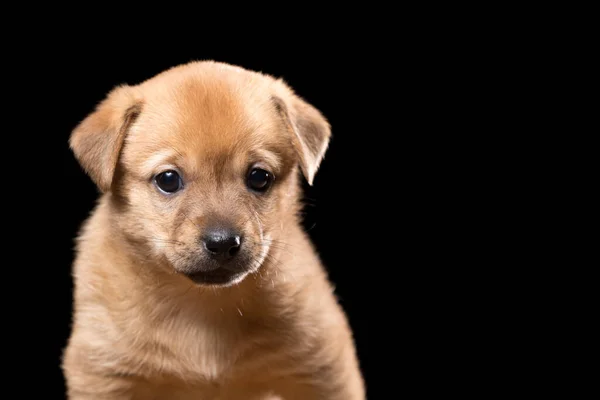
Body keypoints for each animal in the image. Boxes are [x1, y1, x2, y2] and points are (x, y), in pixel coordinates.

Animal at [64, 61, 366, 398]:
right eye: (168, 179)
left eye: (259, 177)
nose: (223, 243)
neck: (204, 307)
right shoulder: (103, 374)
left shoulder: (324, 370)